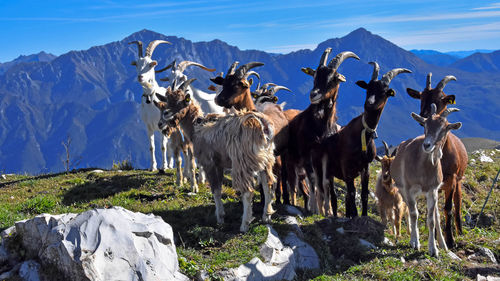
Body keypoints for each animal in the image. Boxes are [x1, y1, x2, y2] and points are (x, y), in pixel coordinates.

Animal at [153, 79, 276, 232]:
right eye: (167, 101)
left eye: (181, 102)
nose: (163, 119)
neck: (196, 125)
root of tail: (261, 125)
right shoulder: (220, 163)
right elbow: (219, 188)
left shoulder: (209, 162)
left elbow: (216, 190)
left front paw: (220, 218)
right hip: (267, 159)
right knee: (268, 184)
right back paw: (266, 217)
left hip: (242, 161)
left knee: (248, 191)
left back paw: (244, 225)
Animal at [286, 48, 360, 212]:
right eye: (314, 75)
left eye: (333, 78)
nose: (313, 94)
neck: (320, 127)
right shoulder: (307, 153)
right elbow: (314, 181)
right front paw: (314, 209)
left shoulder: (326, 154)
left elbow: (325, 182)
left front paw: (328, 210)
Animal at [310, 62, 412, 215]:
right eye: (368, 88)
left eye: (384, 91)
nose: (369, 103)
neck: (363, 135)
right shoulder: (346, 167)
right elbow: (352, 193)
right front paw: (355, 216)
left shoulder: (366, 167)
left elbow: (363, 194)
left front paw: (362, 215)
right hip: (326, 170)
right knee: (332, 196)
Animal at [390, 104, 460, 256]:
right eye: (425, 124)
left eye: (445, 128)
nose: (427, 145)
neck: (422, 169)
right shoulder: (409, 189)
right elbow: (414, 214)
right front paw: (415, 243)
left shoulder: (432, 190)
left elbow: (432, 219)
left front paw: (433, 249)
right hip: (402, 190)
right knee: (411, 211)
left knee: (436, 215)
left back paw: (443, 244)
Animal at [406, 74, 468, 247]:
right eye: (421, 96)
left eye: (441, 98)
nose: (423, 114)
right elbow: (432, 211)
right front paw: (433, 238)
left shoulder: (452, 179)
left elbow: (448, 208)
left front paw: (451, 240)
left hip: (457, 182)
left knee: (458, 204)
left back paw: (459, 231)